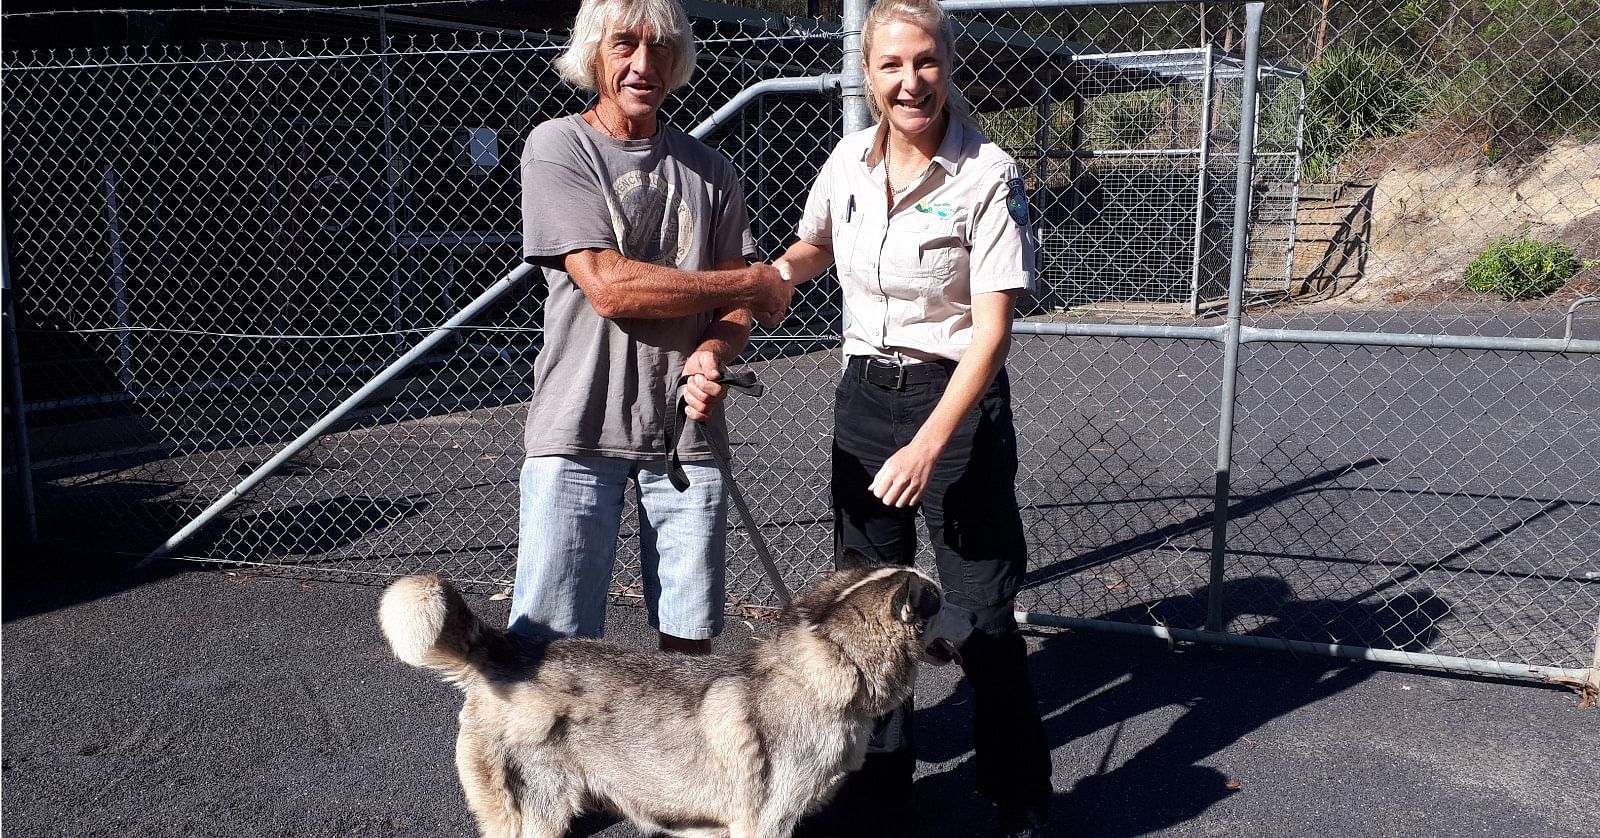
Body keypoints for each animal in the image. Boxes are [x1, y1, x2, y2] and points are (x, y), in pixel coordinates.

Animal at [380, 556, 966, 838]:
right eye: (942, 600)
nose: (979, 612)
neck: (828, 668)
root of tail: (507, 649)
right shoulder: (765, 826)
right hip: (536, 815)